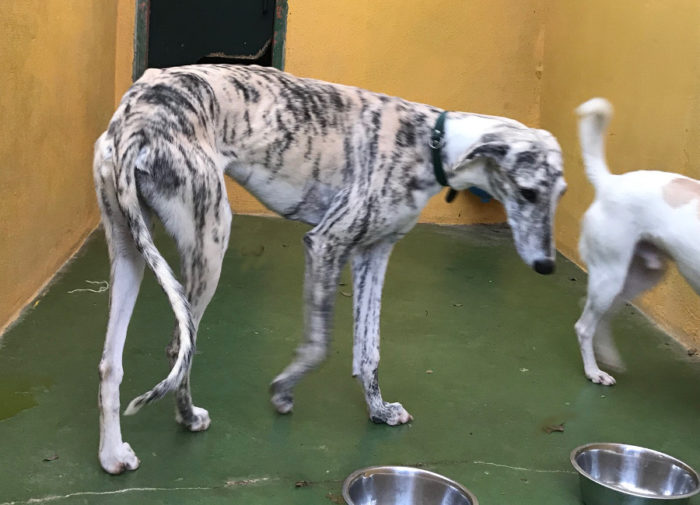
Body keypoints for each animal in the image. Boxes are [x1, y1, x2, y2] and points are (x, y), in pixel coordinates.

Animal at [93, 64, 566, 474]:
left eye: (560, 193)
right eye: (527, 192)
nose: (546, 265)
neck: (431, 142)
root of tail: (137, 119)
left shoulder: (375, 252)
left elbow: (369, 348)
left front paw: (379, 410)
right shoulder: (326, 243)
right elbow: (320, 345)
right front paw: (283, 391)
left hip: (130, 248)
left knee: (112, 362)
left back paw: (113, 454)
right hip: (210, 240)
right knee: (182, 347)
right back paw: (188, 417)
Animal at [574, 97, 700, 386]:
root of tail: (610, 182)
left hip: (638, 279)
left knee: (601, 317)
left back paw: (607, 357)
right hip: (610, 277)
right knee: (584, 326)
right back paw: (593, 372)